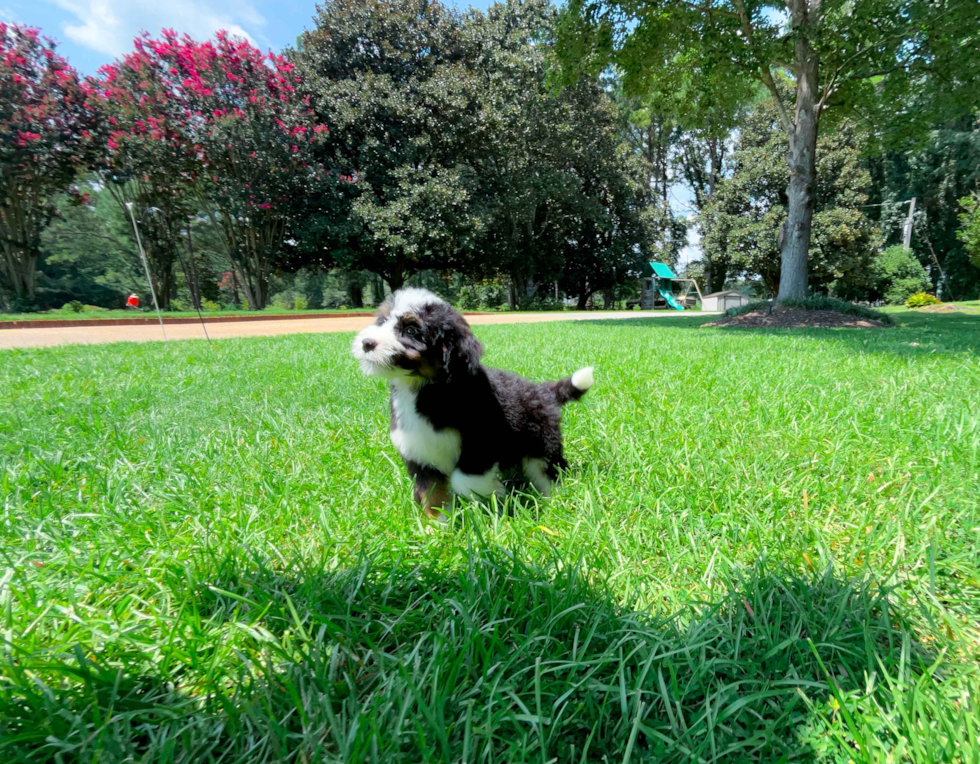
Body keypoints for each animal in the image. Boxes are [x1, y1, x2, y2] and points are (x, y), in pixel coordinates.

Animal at [354, 288, 596, 520]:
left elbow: (464, 480)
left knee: (550, 471)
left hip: (542, 443)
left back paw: (557, 501)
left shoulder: (481, 443)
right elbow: (431, 495)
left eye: (411, 330)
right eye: (382, 321)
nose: (367, 343)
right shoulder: (420, 454)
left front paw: (494, 493)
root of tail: (543, 390)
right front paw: (437, 527)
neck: (425, 389)